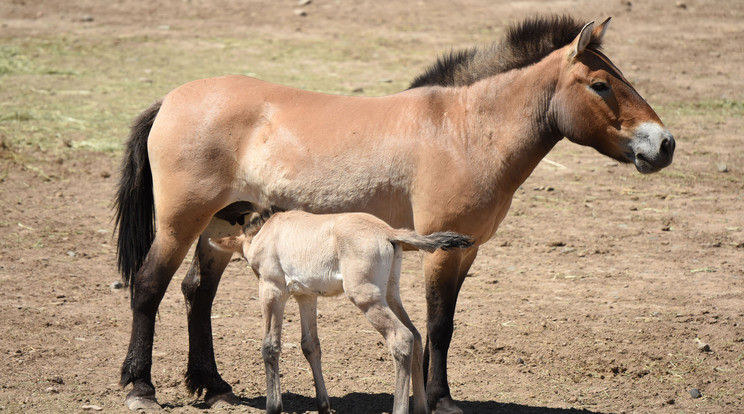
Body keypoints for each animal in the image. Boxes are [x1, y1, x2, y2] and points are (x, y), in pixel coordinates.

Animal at [212, 210, 474, 414]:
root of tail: (388, 231)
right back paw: (420, 408)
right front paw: (323, 405)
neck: (270, 231)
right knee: (417, 336)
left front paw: (273, 406)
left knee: (402, 338)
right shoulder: (306, 296)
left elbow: (270, 346)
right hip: (390, 295)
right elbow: (310, 345)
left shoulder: (272, 290)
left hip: (365, 298)